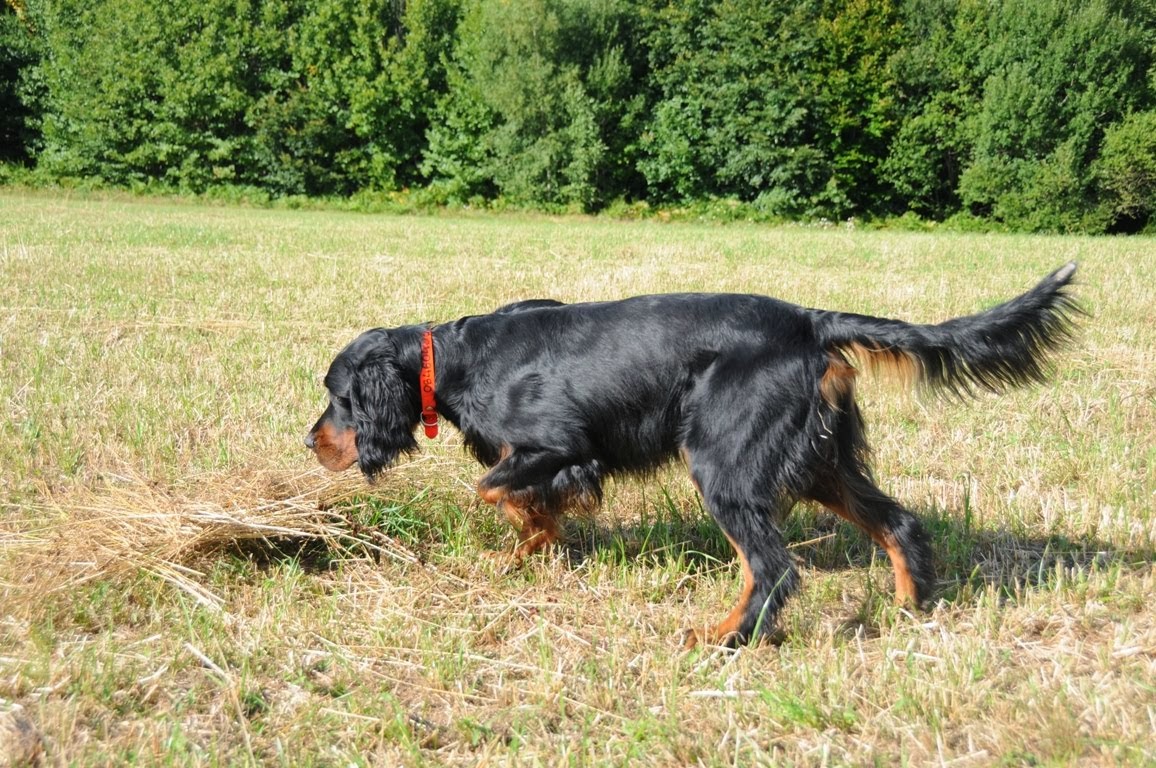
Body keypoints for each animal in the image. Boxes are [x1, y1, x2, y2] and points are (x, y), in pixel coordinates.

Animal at [309, 263, 1082, 647]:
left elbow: (497, 489)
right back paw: (909, 604)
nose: (311, 442)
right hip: (819, 461)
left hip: (725, 466)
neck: (454, 359)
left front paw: (531, 541)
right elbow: (521, 500)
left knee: (774, 567)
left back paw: (728, 637)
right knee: (896, 520)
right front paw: (533, 549)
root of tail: (809, 323)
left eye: (339, 396)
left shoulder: (558, 443)